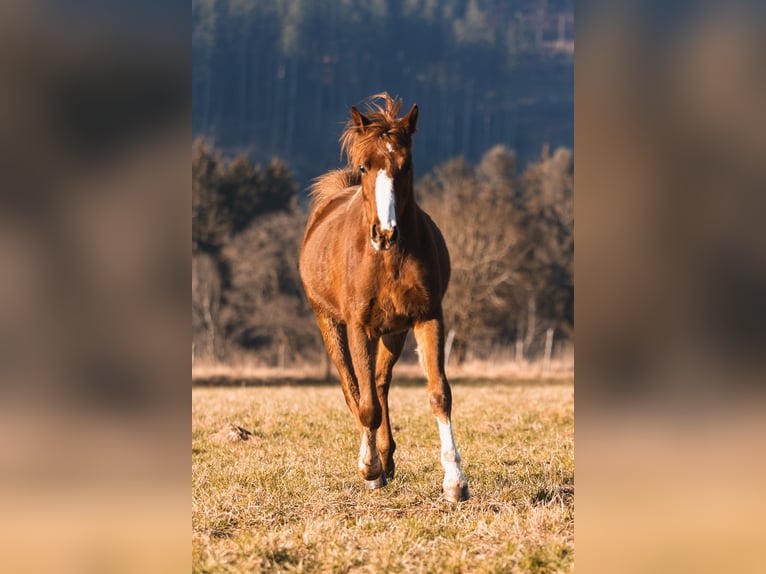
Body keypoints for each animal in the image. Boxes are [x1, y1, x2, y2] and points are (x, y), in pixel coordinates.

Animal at [298, 94, 468, 504]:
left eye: (405, 167)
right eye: (364, 166)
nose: (385, 233)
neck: (389, 259)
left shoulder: (427, 318)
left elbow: (439, 394)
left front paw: (455, 481)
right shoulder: (358, 327)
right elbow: (366, 408)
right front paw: (370, 468)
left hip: (392, 332)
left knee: (377, 383)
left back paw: (388, 458)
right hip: (331, 323)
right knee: (354, 390)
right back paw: (374, 463)